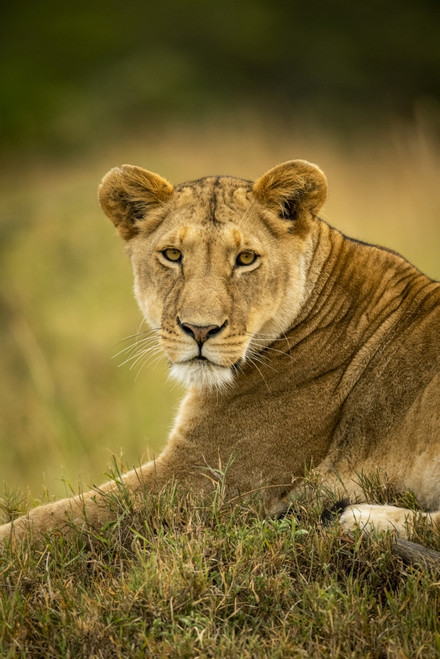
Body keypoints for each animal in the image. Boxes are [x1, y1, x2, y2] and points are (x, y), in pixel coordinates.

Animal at [1, 159, 439, 545]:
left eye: (245, 259)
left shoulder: (202, 480)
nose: (200, 329)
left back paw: (359, 517)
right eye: (172, 255)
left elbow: (52, 519)